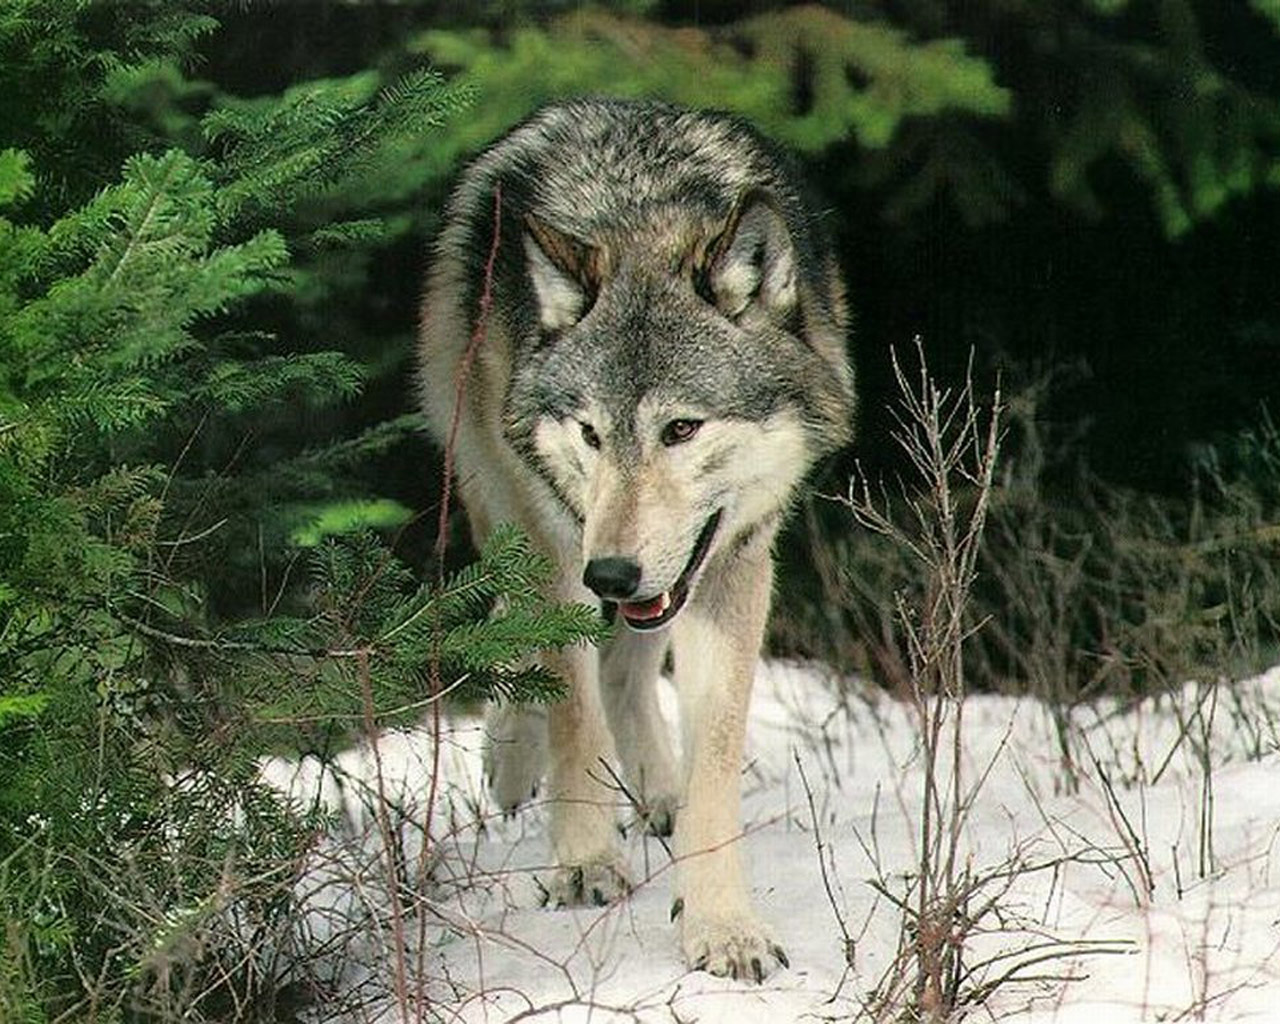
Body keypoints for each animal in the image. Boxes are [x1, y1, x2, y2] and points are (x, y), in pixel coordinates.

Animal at [418, 97, 854, 980]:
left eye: (681, 429)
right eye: (590, 432)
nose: (611, 577)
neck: (643, 214)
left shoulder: (731, 565)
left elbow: (713, 754)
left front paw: (721, 923)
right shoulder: (561, 551)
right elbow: (573, 712)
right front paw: (583, 860)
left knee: (625, 669)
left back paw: (657, 790)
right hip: (498, 490)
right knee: (516, 626)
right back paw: (513, 759)